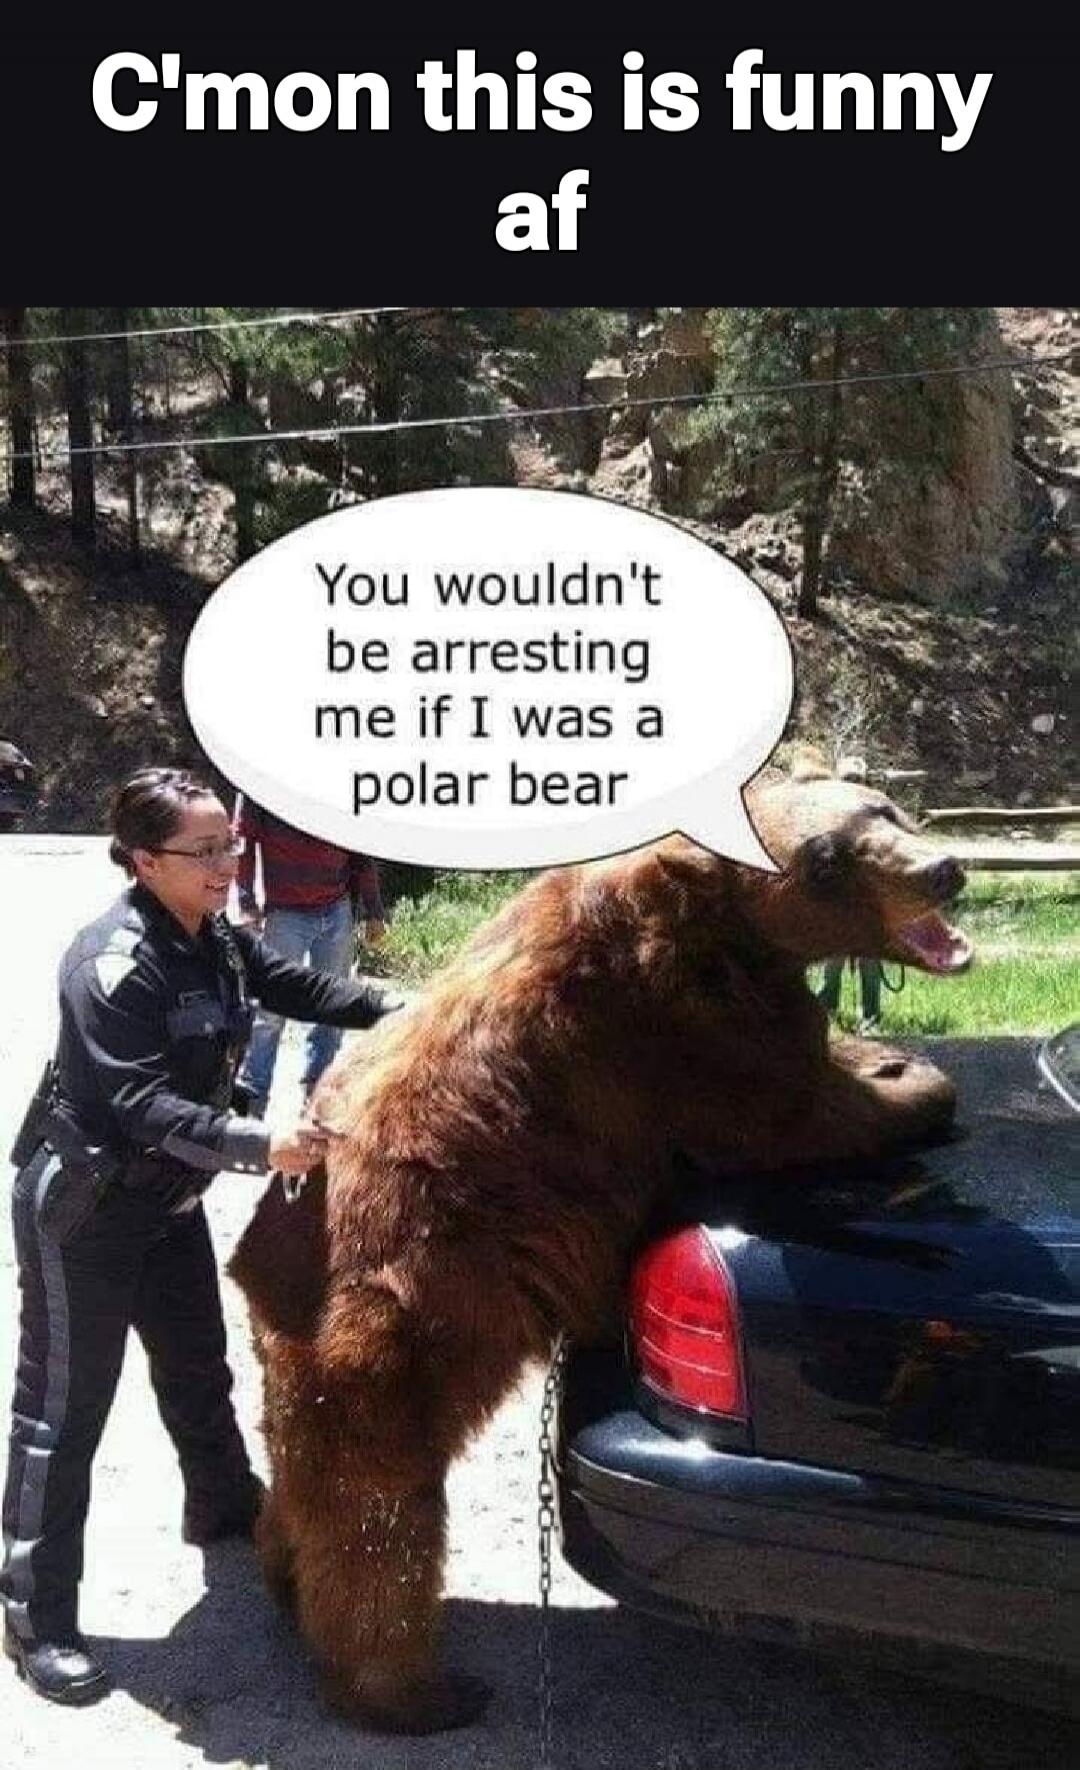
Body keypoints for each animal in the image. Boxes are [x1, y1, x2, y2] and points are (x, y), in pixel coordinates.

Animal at [228, 760, 972, 1734]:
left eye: (883, 809)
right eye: (825, 858)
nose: (943, 869)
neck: (731, 932)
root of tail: (257, 1267)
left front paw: (884, 1054)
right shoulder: (671, 1033)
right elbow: (793, 1111)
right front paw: (917, 1081)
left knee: (305, 1482)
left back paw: (283, 1578)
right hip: (395, 1329)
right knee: (379, 1516)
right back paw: (415, 1690)